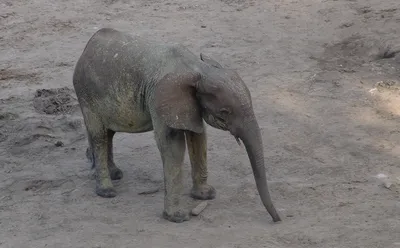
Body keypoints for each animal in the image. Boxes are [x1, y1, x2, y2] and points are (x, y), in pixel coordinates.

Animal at [72, 28, 282, 224]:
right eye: (225, 112)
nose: (277, 219)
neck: (198, 69)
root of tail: (89, 45)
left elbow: (199, 137)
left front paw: (205, 195)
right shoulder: (158, 98)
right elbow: (172, 146)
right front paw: (177, 217)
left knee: (108, 133)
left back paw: (115, 174)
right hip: (86, 94)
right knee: (99, 134)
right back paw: (107, 191)